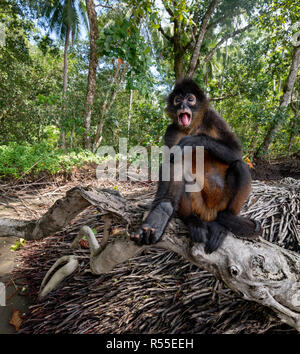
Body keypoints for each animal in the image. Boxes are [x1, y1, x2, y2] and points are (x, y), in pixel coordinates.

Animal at [131, 79, 260, 253]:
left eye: (190, 99)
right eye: (178, 100)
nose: (183, 105)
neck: (192, 127)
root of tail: (209, 215)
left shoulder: (214, 118)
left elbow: (237, 152)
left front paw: (195, 141)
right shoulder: (172, 130)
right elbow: (172, 163)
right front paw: (161, 212)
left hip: (222, 203)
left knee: (240, 166)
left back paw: (224, 222)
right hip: (199, 205)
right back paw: (193, 221)